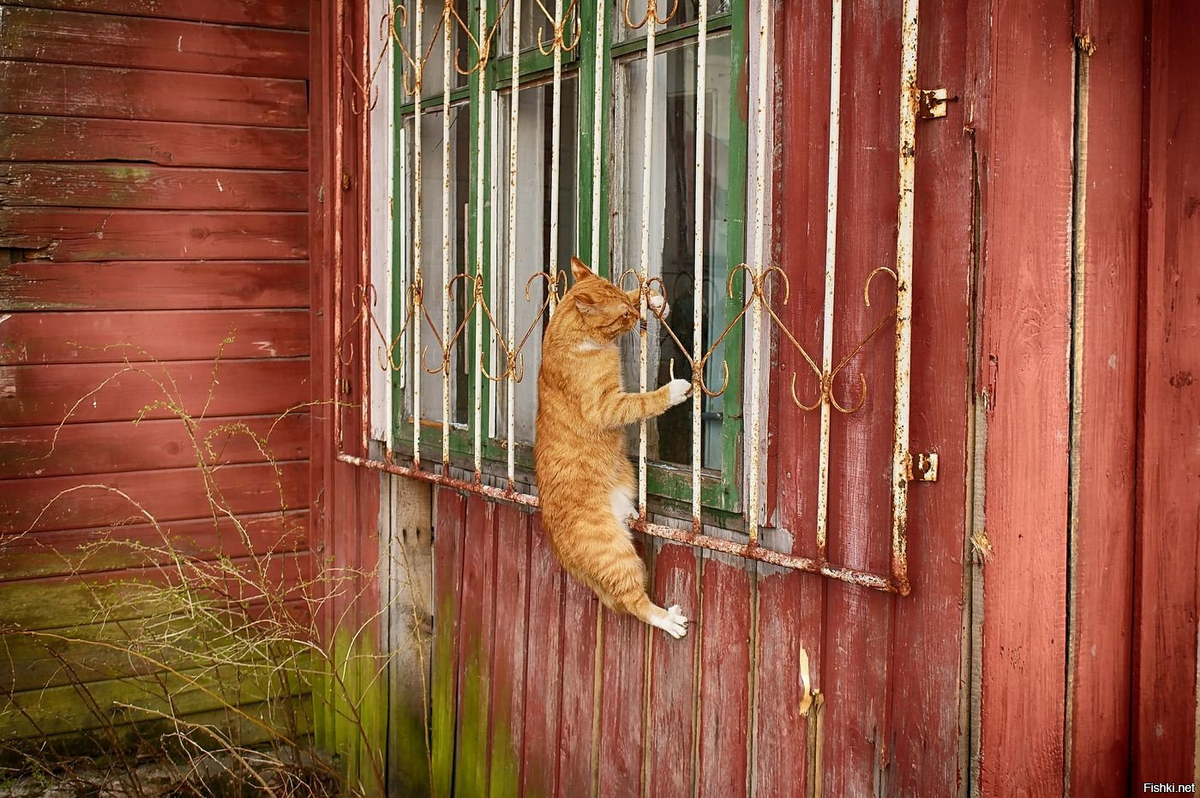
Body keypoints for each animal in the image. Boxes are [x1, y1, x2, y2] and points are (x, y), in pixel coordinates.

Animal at [537, 258, 696, 638]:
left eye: (628, 307)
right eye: (622, 315)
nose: (635, 316)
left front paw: (652, 298)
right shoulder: (607, 406)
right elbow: (643, 401)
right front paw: (673, 390)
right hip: (615, 554)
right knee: (633, 602)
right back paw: (669, 620)